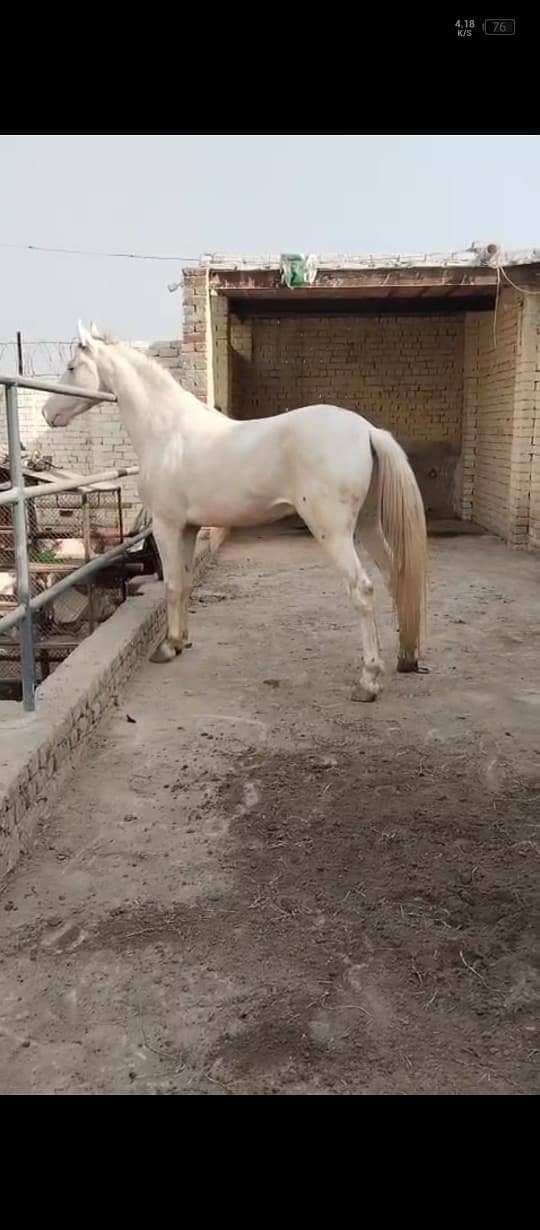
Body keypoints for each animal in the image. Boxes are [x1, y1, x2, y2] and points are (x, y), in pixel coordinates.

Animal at [42, 321, 427, 702]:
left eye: (72, 367)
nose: (48, 413)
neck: (167, 432)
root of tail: (367, 430)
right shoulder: (189, 529)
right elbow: (184, 583)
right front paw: (181, 641)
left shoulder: (167, 526)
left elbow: (172, 585)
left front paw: (166, 647)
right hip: (368, 526)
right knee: (395, 578)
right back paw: (406, 657)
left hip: (333, 532)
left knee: (362, 589)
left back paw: (369, 679)